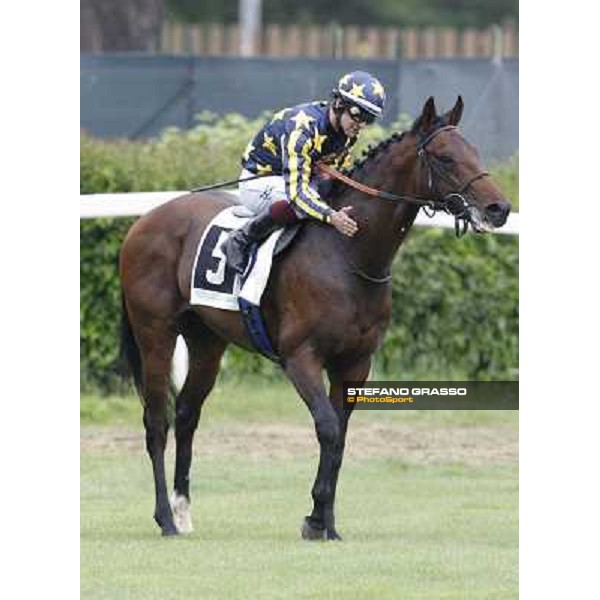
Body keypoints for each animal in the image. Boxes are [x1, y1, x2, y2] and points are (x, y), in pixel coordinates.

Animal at [120, 96, 510, 536]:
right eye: (445, 158)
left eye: (475, 151)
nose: (499, 208)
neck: (348, 255)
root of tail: (143, 221)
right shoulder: (300, 358)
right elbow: (327, 427)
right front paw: (315, 519)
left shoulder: (355, 363)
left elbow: (340, 436)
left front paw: (326, 523)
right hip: (155, 333)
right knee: (157, 421)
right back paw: (165, 518)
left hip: (206, 341)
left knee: (187, 414)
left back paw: (183, 511)